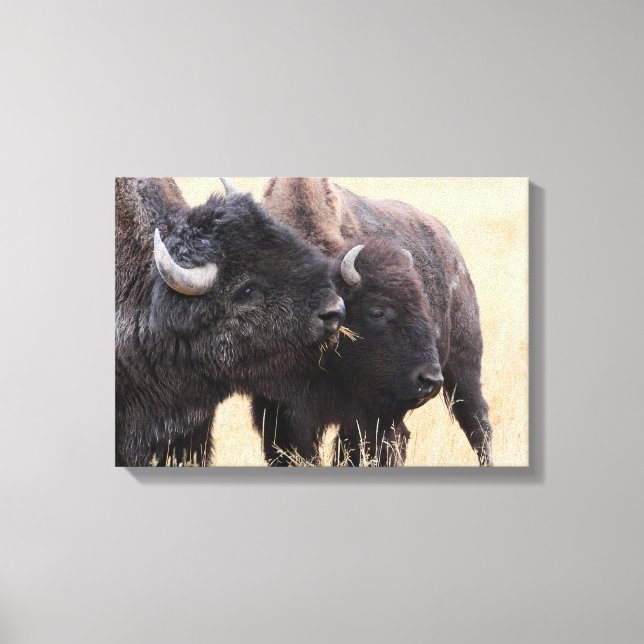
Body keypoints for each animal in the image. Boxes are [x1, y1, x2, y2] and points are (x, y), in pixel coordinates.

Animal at [253, 178, 493, 466]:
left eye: (422, 305)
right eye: (377, 312)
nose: (429, 379)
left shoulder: (366, 413)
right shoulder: (278, 410)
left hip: (463, 368)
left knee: (478, 426)